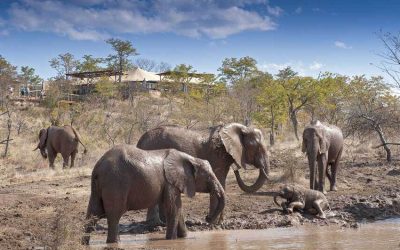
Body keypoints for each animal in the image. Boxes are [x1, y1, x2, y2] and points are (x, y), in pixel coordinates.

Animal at [82, 145, 225, 244]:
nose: (207, 218)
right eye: (208, 177)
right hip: (115, 183)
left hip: (98, 186)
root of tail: (98, 167)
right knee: (114, 215)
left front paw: (184, 238)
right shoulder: (170, 182)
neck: (191, 159)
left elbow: (178, 209)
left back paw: (84, 243)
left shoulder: (171, 183)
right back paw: (114, 243)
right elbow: (173, 208)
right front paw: (171, 240)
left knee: (93, 213)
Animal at [136, 124, 270, 224]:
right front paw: (214, 223)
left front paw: (220, 223)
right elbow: (218, 180)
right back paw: (155, 225)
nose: (236, 170)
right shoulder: (217, 156)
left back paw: (161, 223)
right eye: (257, 147)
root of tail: (140, 141)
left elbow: (221, 184)